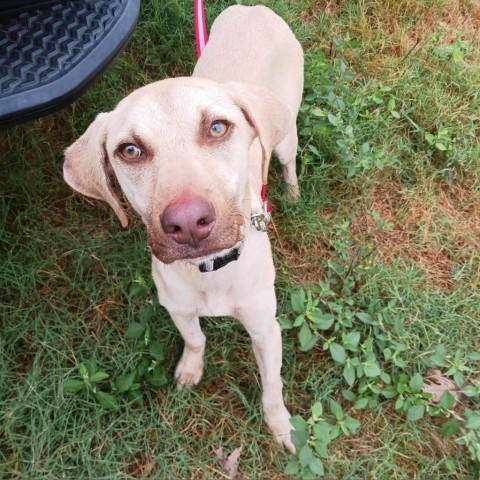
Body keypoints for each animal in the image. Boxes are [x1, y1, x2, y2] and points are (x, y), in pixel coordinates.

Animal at [63, 5, 304, 452]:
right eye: (129, 150)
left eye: (218, 127)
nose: (188, 222)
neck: (210, 274)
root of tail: (254, 8)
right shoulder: (177, 308)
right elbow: (195, 339)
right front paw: (191, 370)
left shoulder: (266, 328)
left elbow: (272, 387)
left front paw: (281, 427)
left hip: (284, 137)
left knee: (287, 161)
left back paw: (293, 193)